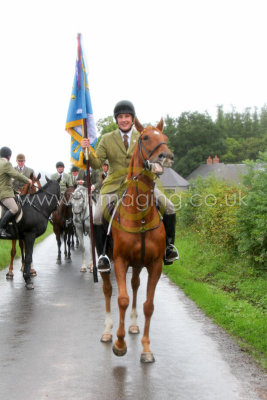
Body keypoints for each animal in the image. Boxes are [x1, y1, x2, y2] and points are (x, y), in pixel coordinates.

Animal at [99, 115, 175, 362]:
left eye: (165, 137)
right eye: (146, 137)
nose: (166, 157)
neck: (140, 214)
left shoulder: (154, 265)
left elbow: (148, 305)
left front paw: (146, 349)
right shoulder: (120, 261)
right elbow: (121, 299)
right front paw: (119, 344)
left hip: (139, 264)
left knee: (134, 286)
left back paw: (132, 325)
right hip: (105, 264)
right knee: (108, 291)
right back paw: (107, 331)